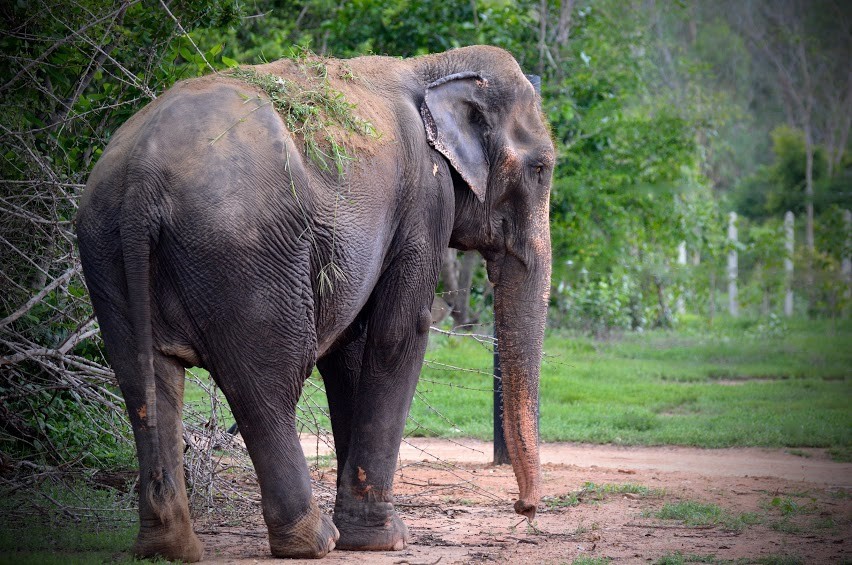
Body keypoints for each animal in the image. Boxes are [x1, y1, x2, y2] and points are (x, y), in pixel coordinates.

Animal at [76, 45, 556, 560]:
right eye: (541, 169)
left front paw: (363, 534)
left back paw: (170, 548)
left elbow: (351, 348)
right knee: (267, 383)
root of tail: (142, 178)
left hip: (105, 245)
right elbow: (399, 332)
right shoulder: (425, 201)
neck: (432, 66)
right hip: (246, 258)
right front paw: (385, 539)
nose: (524, 509)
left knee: (145, 379)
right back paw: (314, 540)